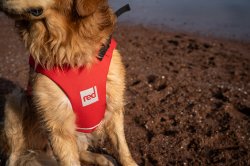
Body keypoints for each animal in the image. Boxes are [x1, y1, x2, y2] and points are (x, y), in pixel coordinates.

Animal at [0, 0, 137, 166]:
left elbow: (122, 148)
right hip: (15, 101)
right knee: (14, 155)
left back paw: (103, 158)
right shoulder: (58, 124)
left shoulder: (114, 106)